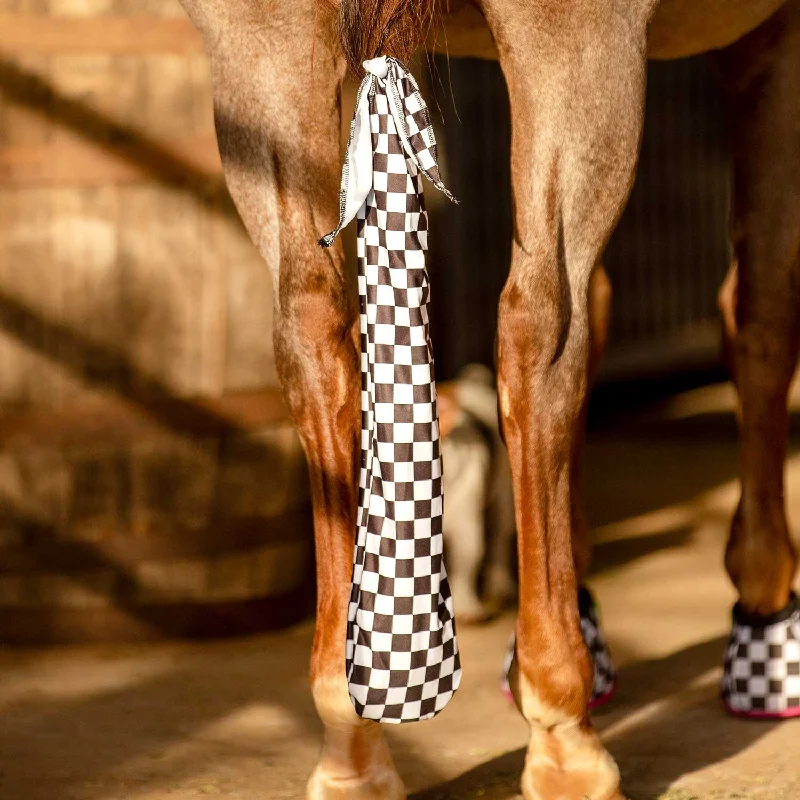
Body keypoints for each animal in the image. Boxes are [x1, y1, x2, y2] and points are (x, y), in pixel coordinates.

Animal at [178, 0, 796, 796]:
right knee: (540, 331)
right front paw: (766, 612)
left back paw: (351, 737)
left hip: (260, 47)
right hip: (576, 43)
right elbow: (762, 313)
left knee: (312, 331)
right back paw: (564, 735)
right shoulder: (772, 40)